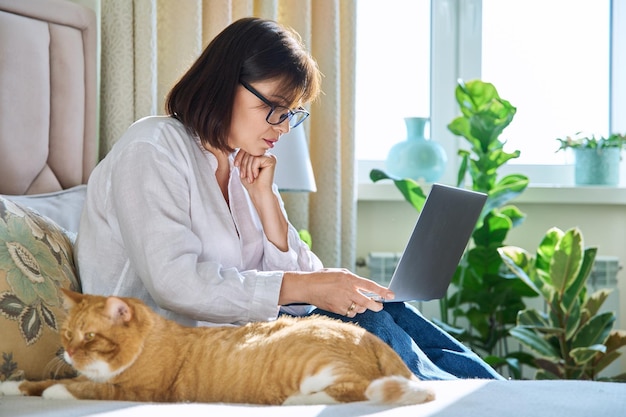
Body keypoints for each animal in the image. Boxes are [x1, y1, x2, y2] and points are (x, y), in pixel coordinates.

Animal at [0, 290, 434, 404]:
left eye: (89, 337)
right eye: (67, 335)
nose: (69, 353)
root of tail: (367, 335)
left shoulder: (141, 391)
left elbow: (75, 387)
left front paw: (56, 391)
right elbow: (37, 382)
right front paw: (11, 386)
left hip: (317, 367)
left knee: (358, 390)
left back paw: (296, 401)